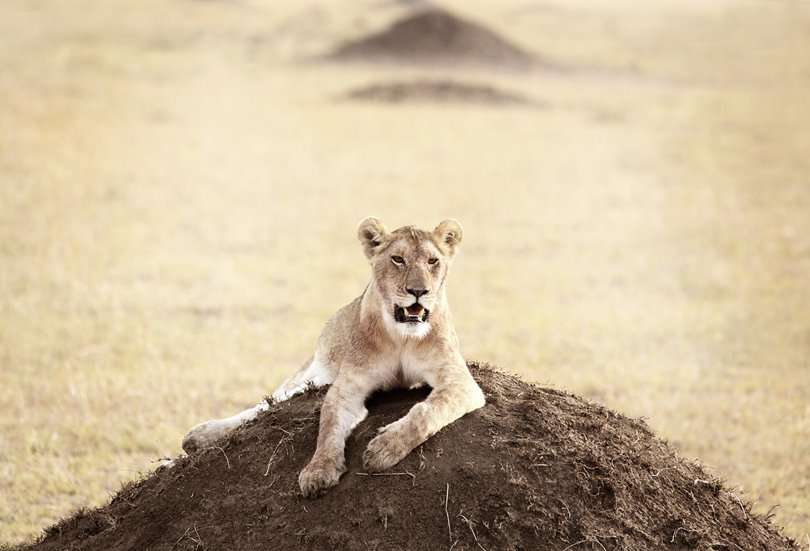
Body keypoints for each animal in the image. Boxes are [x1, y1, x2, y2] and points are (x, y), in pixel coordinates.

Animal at [181, 217, 485, 498]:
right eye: (398, 259)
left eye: (433, 261)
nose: (419, 292)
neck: (402, 337)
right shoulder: (347, 385)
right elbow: (328, 427)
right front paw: (319, 471)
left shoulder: (460, 381)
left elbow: (428, 412)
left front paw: (385, 449)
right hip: (310, 376)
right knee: (264, 406)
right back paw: (199, 436)